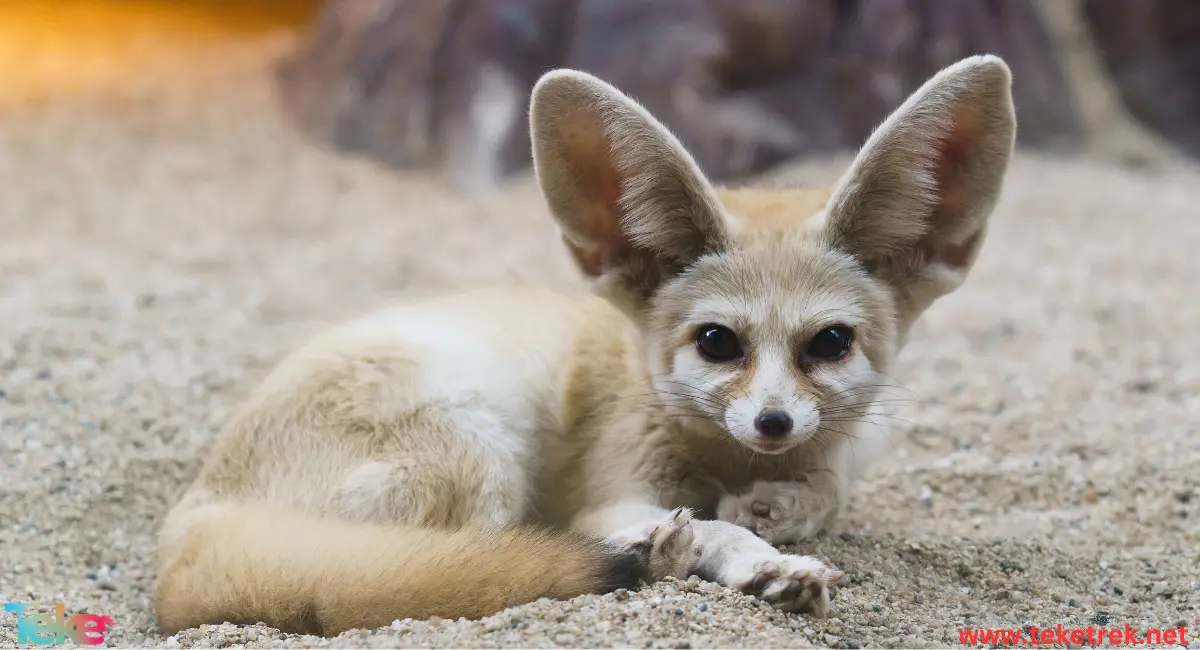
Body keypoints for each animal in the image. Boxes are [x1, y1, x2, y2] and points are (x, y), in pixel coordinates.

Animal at [152, 54, 1012, 638]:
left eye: (829, 342)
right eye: (716, 343)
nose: (772, 422)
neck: (730, 463)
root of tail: (193, 516)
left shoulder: (844, 455)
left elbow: (822, 494)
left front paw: (780, 513)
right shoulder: (613, 489)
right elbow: (710, 525)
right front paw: (759, 557)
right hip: (482, 456)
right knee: (457, 567)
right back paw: (646, 556)